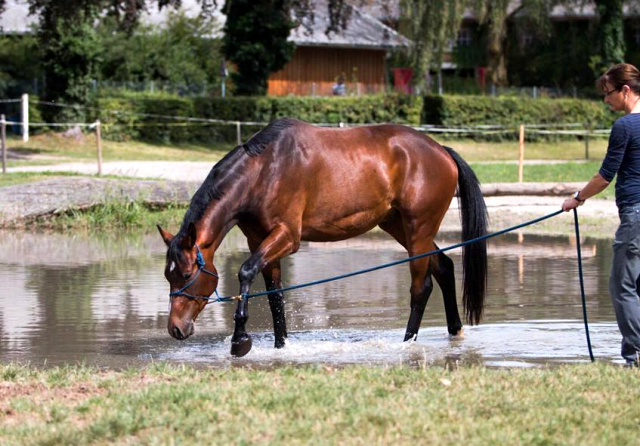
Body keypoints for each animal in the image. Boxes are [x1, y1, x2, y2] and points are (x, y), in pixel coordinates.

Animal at [158, 116, 488, 358]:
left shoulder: (286, 237)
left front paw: (240, 339)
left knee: (422, 287)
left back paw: (407, 342)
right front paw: (281, 346)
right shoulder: (260, 241)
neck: (263, 171)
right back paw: (454, 331)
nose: (175, 328)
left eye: (186, 274)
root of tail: (441, 150)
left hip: (418, 230)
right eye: (167, 275)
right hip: (400, 228)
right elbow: (275, 295)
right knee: (444, 267)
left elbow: (246, 271)